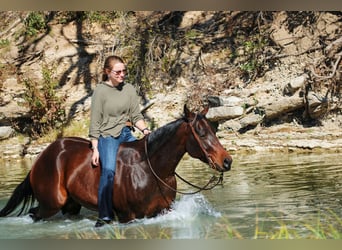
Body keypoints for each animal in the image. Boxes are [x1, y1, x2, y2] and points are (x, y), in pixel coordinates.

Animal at [0, 104, 232, 224]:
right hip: (51, 204)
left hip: (70, 205)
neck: (152, 169)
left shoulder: (162, 211)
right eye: (200, 132)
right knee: (35, 214)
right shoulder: (128, 217)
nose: (227, 161)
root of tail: (42, 157)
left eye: (212, 129)